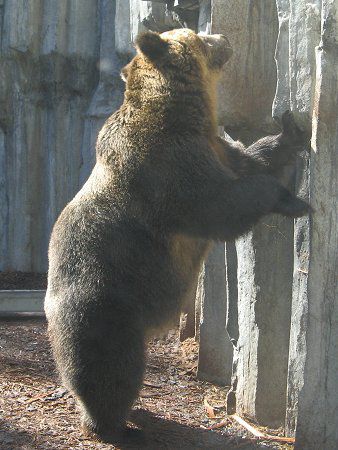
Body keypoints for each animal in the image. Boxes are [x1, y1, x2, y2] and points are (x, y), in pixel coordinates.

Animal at [44, 29, 308, 442]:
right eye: (199, 35)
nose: (223, 36)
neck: (182, 114)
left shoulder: (216, 149)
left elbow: (253, 160)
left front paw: (291, 131)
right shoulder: (168, 170)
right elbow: (220, 206)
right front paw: (291, 200)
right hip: (105, 303)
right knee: (110, 369)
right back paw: (113, 424)